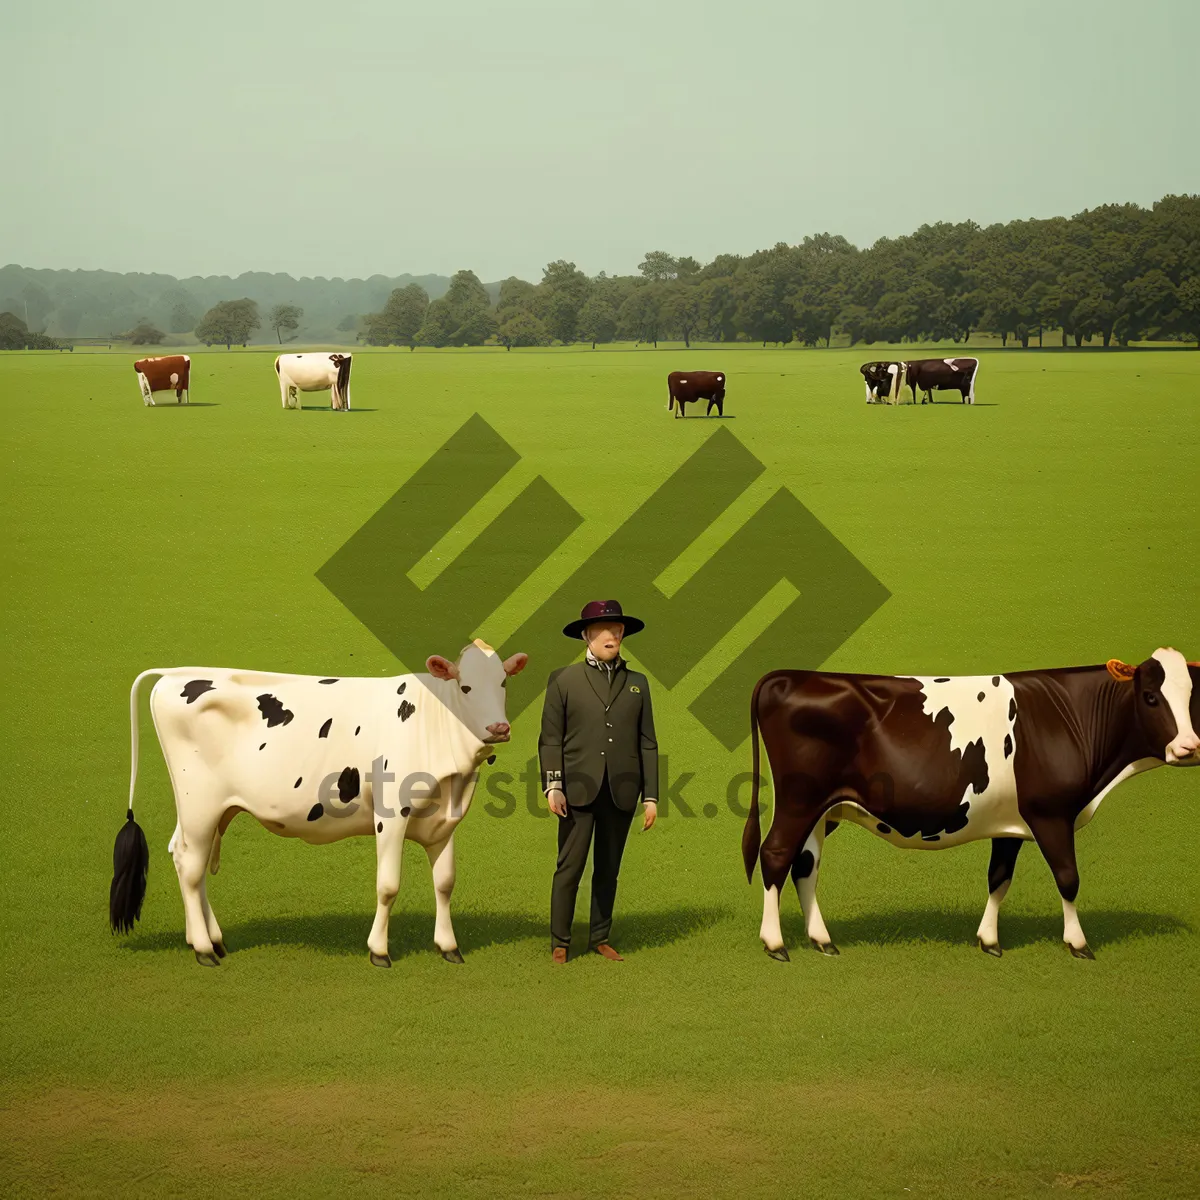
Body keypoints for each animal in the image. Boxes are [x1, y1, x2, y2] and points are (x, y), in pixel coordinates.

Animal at [109, 638, 530, 964]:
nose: (498, 727)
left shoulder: (444, 820)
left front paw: (448, 946)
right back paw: (203, 949)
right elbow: (388, 885)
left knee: (184, 858)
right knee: (191, 863)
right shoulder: (391, 813)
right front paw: (379, 950)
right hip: (198, 800)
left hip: (211, 809)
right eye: (466, 687)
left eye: (503, 682)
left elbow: (444, 883)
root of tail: (174, 674)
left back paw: (213, 939)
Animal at [744, 643, 1195, 960]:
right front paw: (1079, 944)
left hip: (824, 810)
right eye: (1151, 696)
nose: (1189, 747)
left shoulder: (1010, 824)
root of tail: (792, 676)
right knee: (776, 854)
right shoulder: (1051, 813)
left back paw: (822, 940)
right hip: (799, 800)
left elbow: (999, 878)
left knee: (805, 865)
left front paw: (989, 940)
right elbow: (1068, 878)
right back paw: (775, 944)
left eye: (1194, 696)